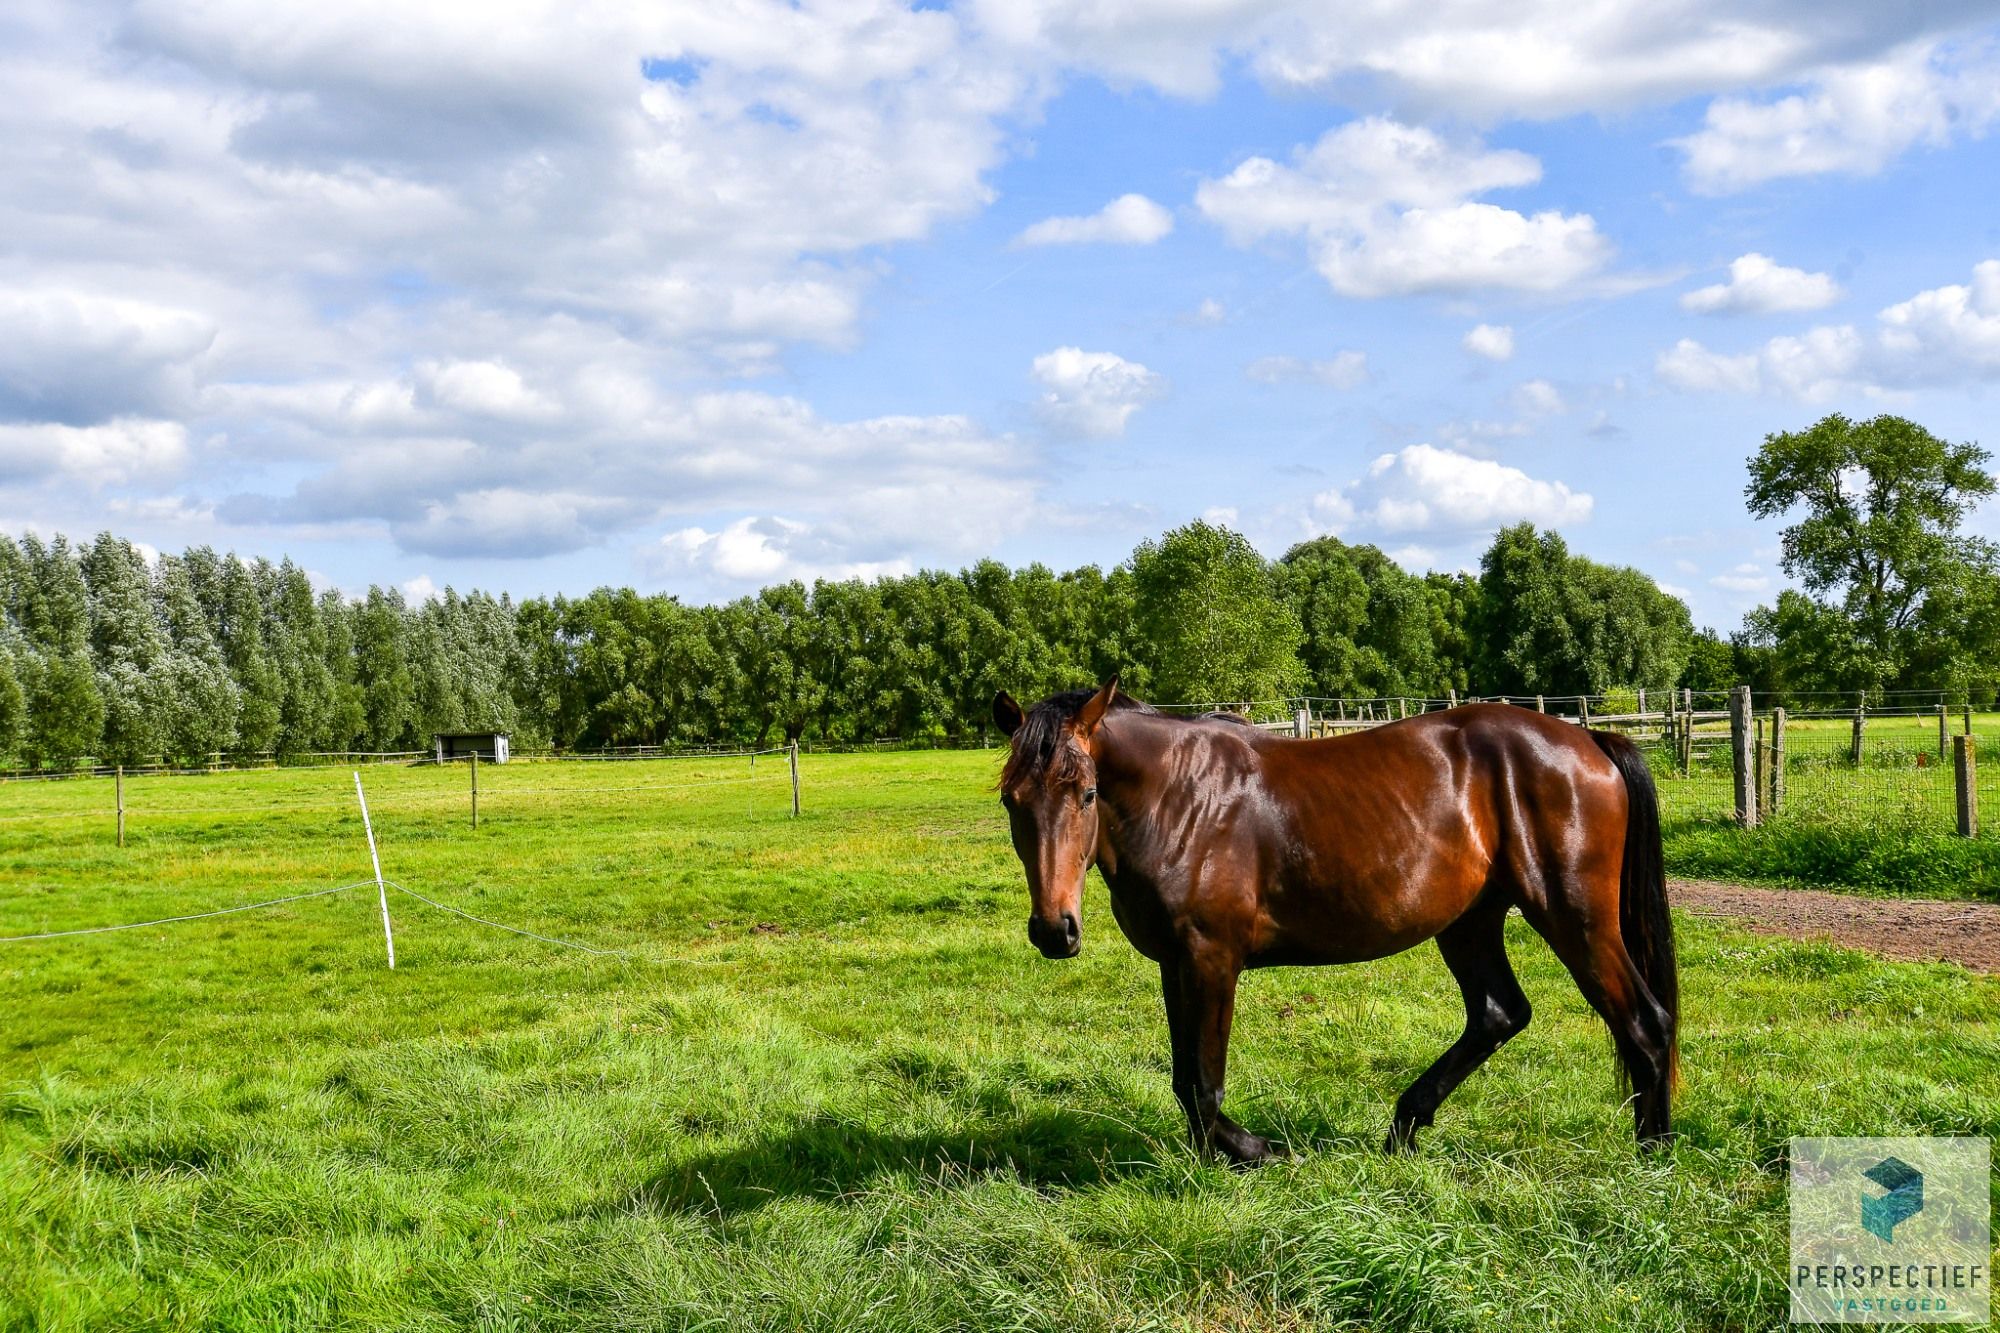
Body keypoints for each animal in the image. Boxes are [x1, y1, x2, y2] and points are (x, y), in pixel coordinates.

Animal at [996, 680, 1672, 1160]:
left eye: (1086, 793)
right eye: (1010, 800)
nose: (1054, 930)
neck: (1183, 798)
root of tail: (1590, 742)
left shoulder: (1212, 958)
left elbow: (1204, 1079)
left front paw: (1247, 1154)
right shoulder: (1175, 962)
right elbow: (1185, 1076)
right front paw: (1218, 1155)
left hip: (1575, 917)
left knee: (1644, 1020)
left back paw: (1654, 1154)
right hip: (1470, 923)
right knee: (1499, 1013)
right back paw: (1404, 1127)